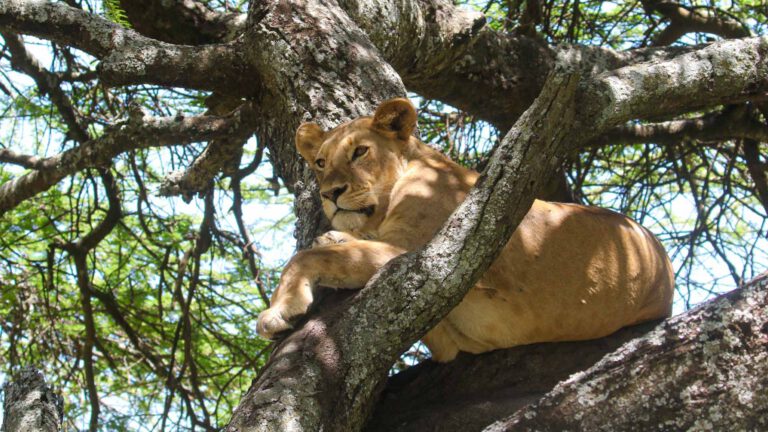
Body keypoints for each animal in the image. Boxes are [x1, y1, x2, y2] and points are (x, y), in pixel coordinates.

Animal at [256, 98, 675, 362]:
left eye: (360, 152)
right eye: (321, 162)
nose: (330, 193)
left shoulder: (428, 256)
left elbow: (307, 256)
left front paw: (280, 309)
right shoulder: (447, 342)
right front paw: (338, 237)